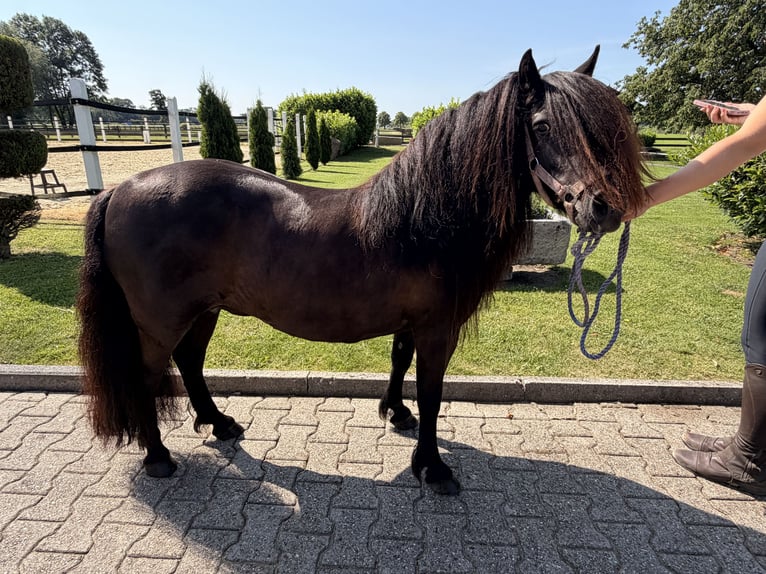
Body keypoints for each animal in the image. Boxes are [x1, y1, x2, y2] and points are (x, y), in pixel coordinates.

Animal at [77, 46, 647, 495]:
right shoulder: (438, 329)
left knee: (190, 364)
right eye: (543, 126)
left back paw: (219, 425)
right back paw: (158, 458)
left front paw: (395, 414)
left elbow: (398, 364)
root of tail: (118, 191)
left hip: (204, 310)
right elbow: (433, 393)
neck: (425, 218)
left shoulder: (412, 323)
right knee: (149, 375)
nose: (603, 208)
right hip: (162, 320)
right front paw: (433, 468)